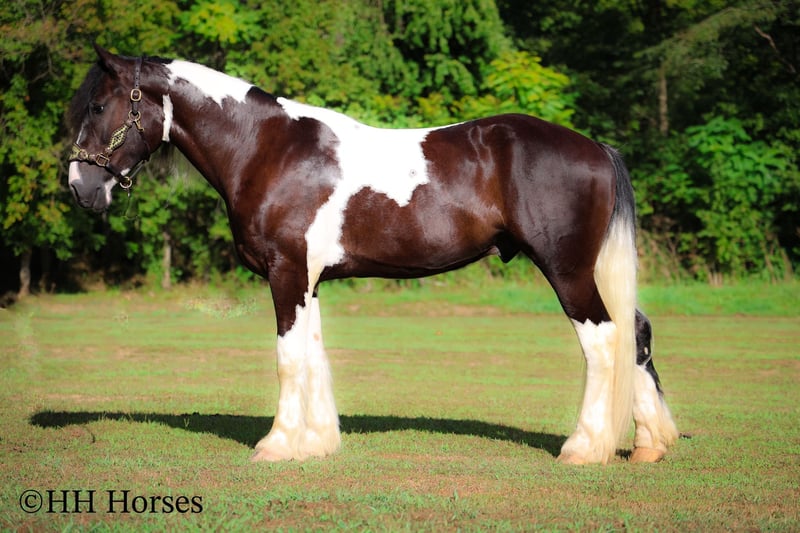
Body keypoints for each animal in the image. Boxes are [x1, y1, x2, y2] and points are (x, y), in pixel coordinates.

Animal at [67, 45, 678, 465]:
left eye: (98, 105)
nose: (79, 187)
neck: (266, 149)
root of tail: (595, 147)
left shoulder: (285, 273)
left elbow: (289, 357)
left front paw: (276, 445)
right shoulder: (307, 278)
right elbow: (313, 354)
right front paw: (317, 443)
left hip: (567, 272)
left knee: (604, 340)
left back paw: (584, 447)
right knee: (637, 332)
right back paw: (651, 443)